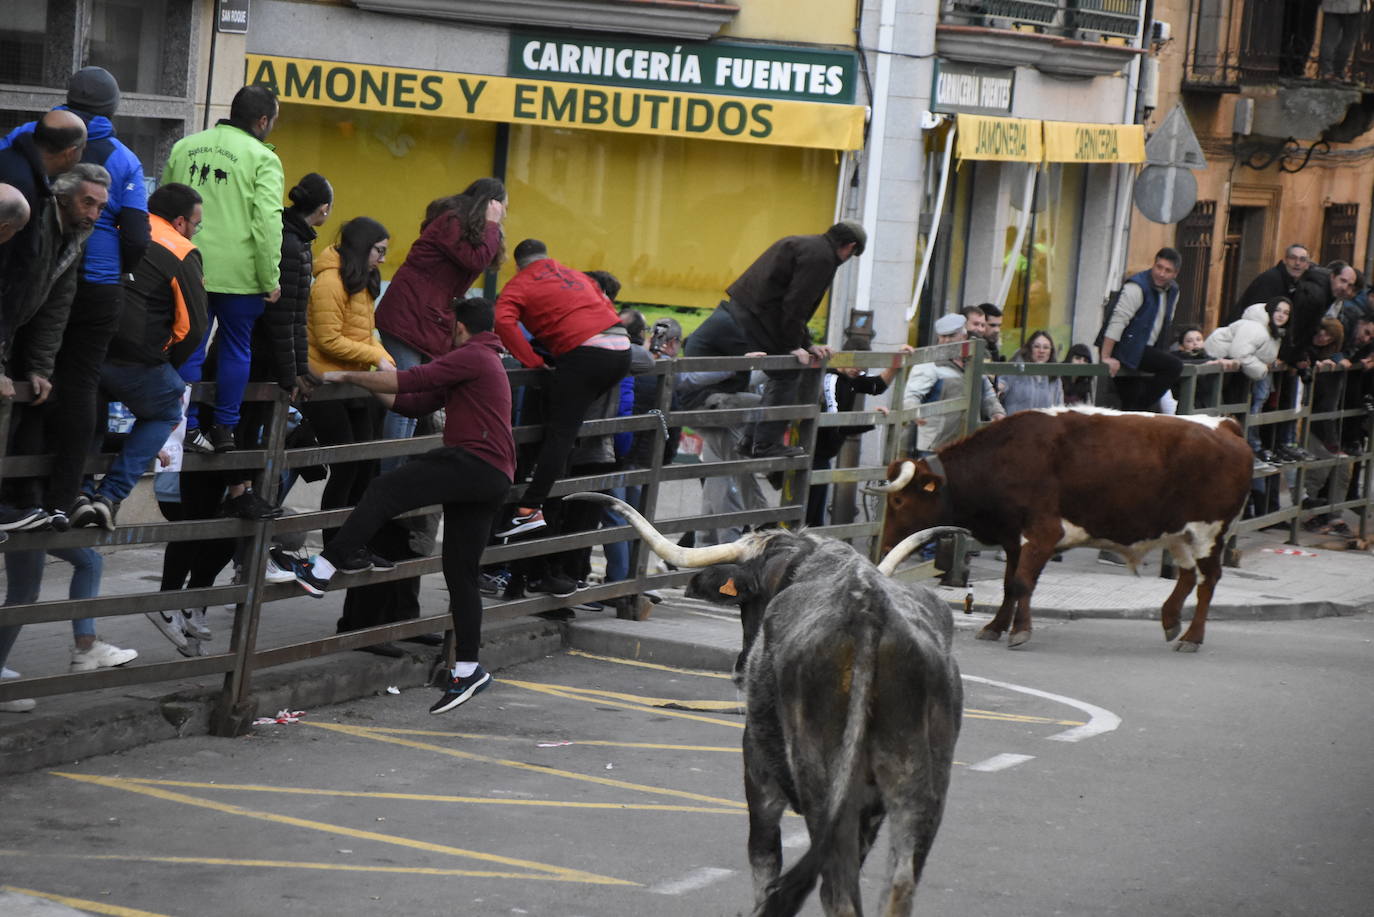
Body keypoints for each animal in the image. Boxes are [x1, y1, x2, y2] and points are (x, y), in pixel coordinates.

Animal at [873, 409, 1253, 651]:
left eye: (899, 502)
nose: (887, 545)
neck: (1005, 457)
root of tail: (1225, 425)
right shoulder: (1014, 540)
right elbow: (1009, 585)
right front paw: (995, 627)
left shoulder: (1042, 534)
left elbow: (1022, 583)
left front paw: (1020, 632)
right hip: (1180, 535)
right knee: (1187, 576)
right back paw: (1171, 621)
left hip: (1208, 533)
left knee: (1208, 581)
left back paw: (1193, 637)